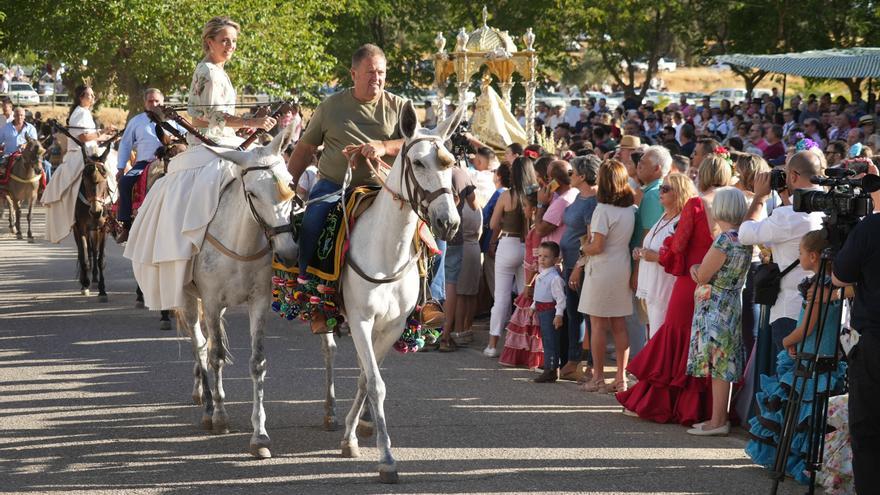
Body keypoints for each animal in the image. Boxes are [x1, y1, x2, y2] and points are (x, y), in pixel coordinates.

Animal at [74, 145, 114, 302]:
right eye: (84, 179)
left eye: (105, 178)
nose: (96, 212)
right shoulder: (81, 228)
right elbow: (84, 256)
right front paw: (85, 284)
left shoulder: (103, 228)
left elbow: (100, 258)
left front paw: (102, 289)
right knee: (83, 252)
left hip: (95, 230)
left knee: (95, 251)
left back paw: (96, 278)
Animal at [172, 126, 302, 460]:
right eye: (252, 192)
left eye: (290, 185)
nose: (289, 252)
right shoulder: (211, 301)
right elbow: (216, 356)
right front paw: (219, 416)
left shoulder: (258, 303)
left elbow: (257, 363)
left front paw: (260, 435)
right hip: (189, 299)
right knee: (199, 344)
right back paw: (206, 407)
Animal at [336, 101, 464, 484]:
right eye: (419, 163)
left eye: (451, 164)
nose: (449, 223)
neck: (385, 253)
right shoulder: (360, 320)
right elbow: (375, 384)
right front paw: (387, 459)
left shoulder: (390, 326)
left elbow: (366, 378)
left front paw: (352, 436)